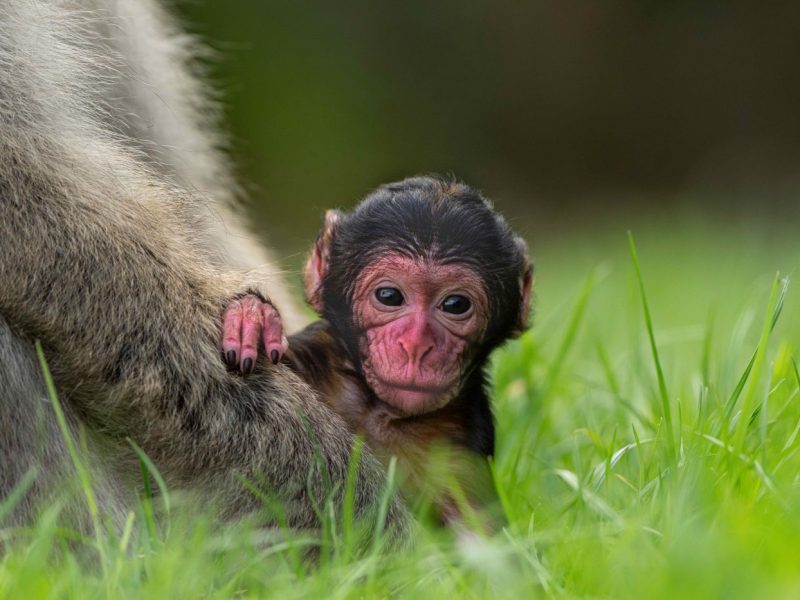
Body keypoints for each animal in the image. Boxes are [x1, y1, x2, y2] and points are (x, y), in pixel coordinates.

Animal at [220, 175, 532, 528]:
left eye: (455, 304)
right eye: (389, 296)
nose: (415, 345)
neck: (378, 409)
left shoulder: (464, 446)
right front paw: (252, 318)